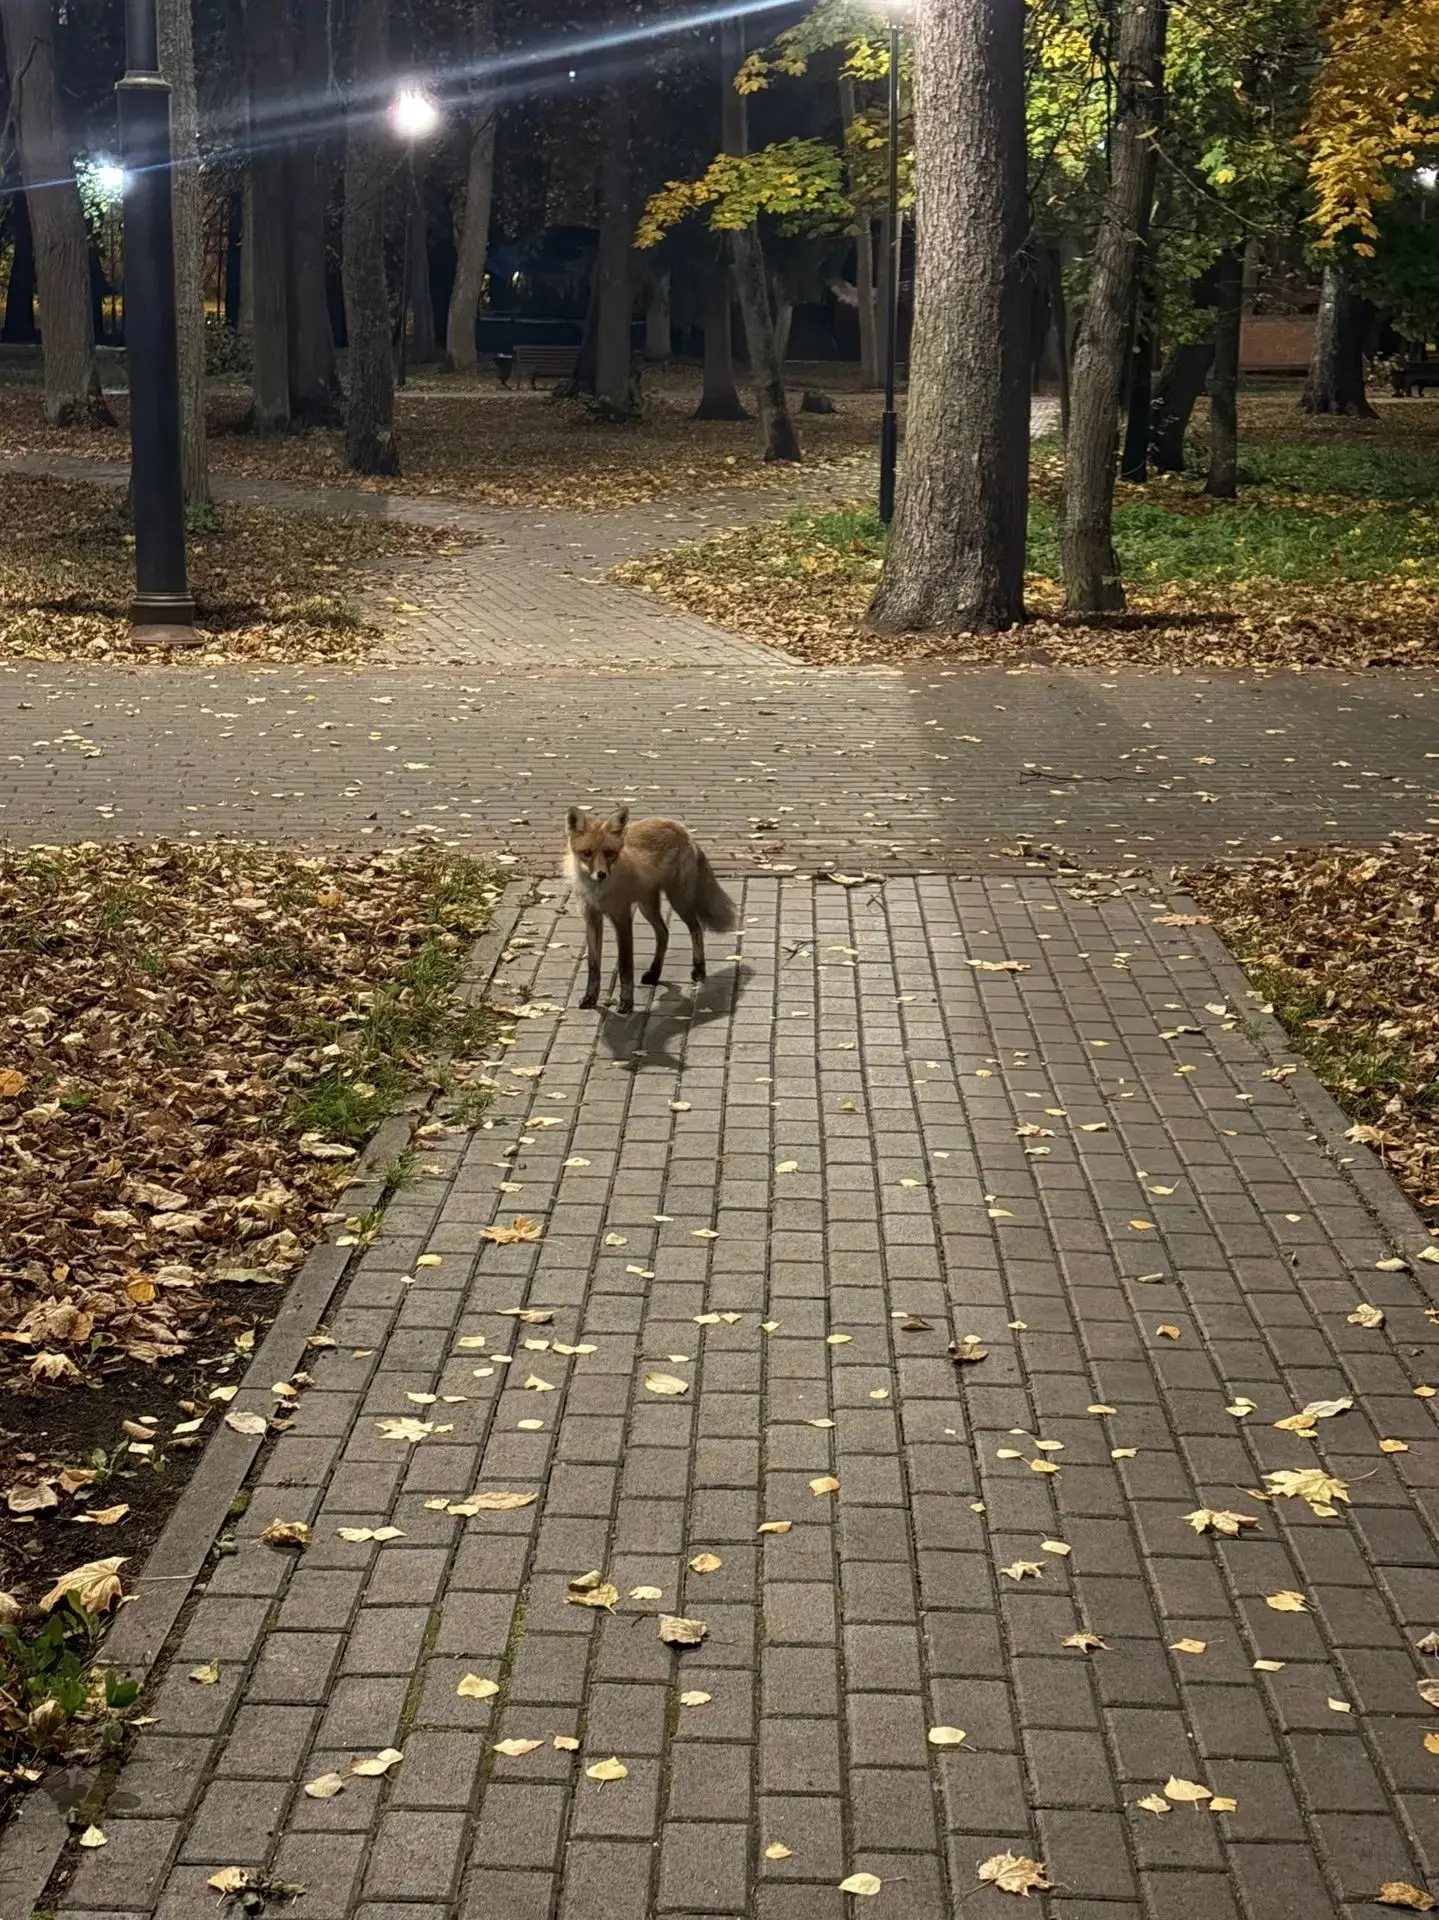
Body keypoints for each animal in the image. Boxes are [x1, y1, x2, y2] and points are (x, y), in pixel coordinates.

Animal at [564, 805, 737, 1014]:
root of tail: (682, 829)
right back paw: (655, 972)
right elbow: (593, 966)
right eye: (587, 853)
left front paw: (626, 1002)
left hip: (678, 900)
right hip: (647, 907)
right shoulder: (591, 919)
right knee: (664, 933)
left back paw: (699, 970)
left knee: (696, 928)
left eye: (610, 853)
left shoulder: (622, 918)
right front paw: (590, 998)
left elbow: (625, 967)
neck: (597, 891)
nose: (601, 874)